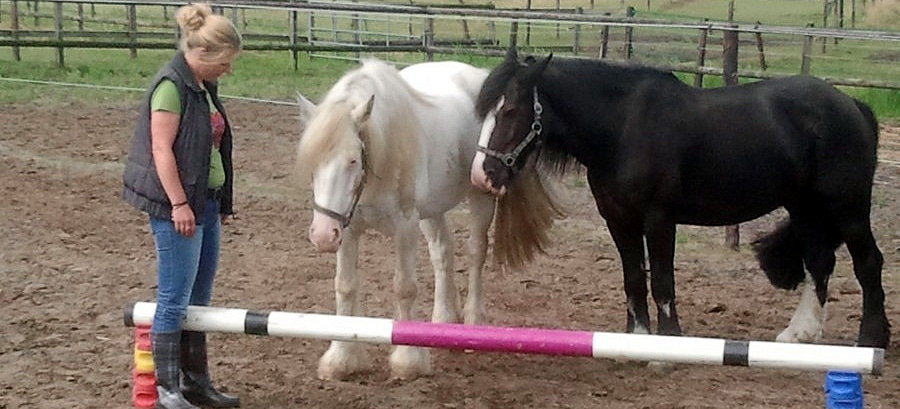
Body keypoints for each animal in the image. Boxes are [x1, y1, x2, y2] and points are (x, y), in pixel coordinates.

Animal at [295, 58, 511, 381]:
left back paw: (474, 323)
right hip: (432, 210)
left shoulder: (405, 226)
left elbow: (405, 287)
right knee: (442, 253)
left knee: (476, 254)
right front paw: (340, 359)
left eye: (353, 160)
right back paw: (443, 323)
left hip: (480, 195)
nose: (322, 235)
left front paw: (408, 361)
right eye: (312, 163)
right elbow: (345, 286)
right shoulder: (348, 228)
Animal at [470, 48, 890, 350]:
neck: (622, 128)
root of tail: (851, 105)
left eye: (510, 110)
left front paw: (666, 346)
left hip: (847, 208)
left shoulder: (658, 218)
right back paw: (800, 334)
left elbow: (662, 281)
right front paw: (636, 340)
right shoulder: (617, 218)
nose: (482, 174)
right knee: (819, 262)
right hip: (804, 206)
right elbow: (634, 279)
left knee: (868, 263)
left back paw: (871, 339)